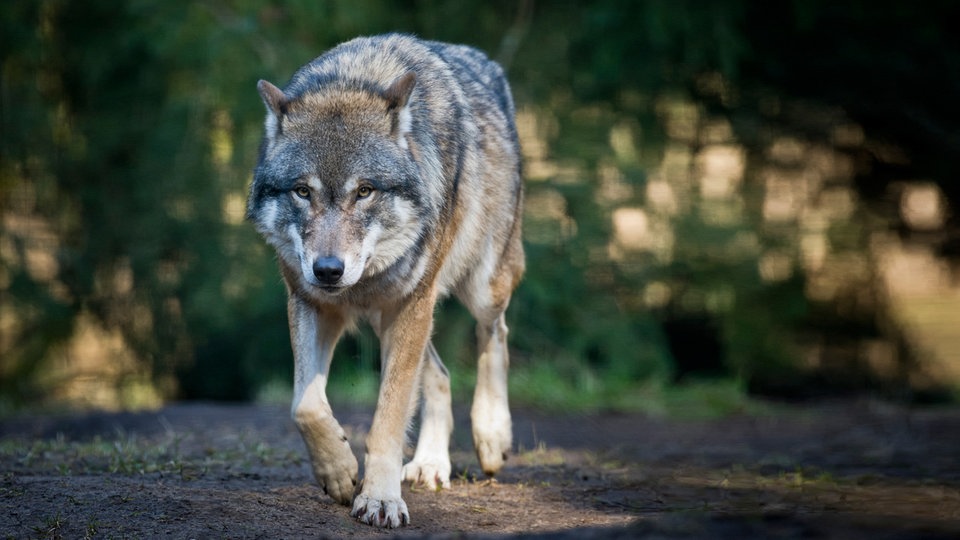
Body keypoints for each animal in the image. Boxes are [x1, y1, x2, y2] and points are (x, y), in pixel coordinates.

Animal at [244, 33, 520, 528]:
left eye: (365, 191)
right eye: (302, 191)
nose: (328, 270)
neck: (357, 77)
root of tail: (486, 62)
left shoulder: (411, 303)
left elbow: (388, 420)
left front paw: (379, 499)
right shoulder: (310, 303)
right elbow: (304, 405)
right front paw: (338, 471)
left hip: (477, 287)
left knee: (495, 333)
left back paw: (491, 435)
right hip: (386, 317)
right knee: (441, 374)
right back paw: (430, 463)